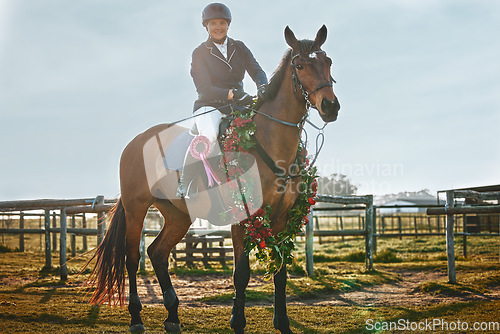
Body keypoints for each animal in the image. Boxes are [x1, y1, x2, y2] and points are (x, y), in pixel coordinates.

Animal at [88, 26, 342, 334]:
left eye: (328, 61)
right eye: (300, 65)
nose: (330, 106)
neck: (267, 142)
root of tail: (135, 142)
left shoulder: (283, 219)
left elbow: (280, 272)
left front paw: (282, 324)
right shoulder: (243, 217)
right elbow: (241, 273)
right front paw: (238, 322)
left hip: (178, 215)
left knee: (157, 252)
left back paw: (172, 316)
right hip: (136, 208)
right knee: (132, 258)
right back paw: (136, 318)